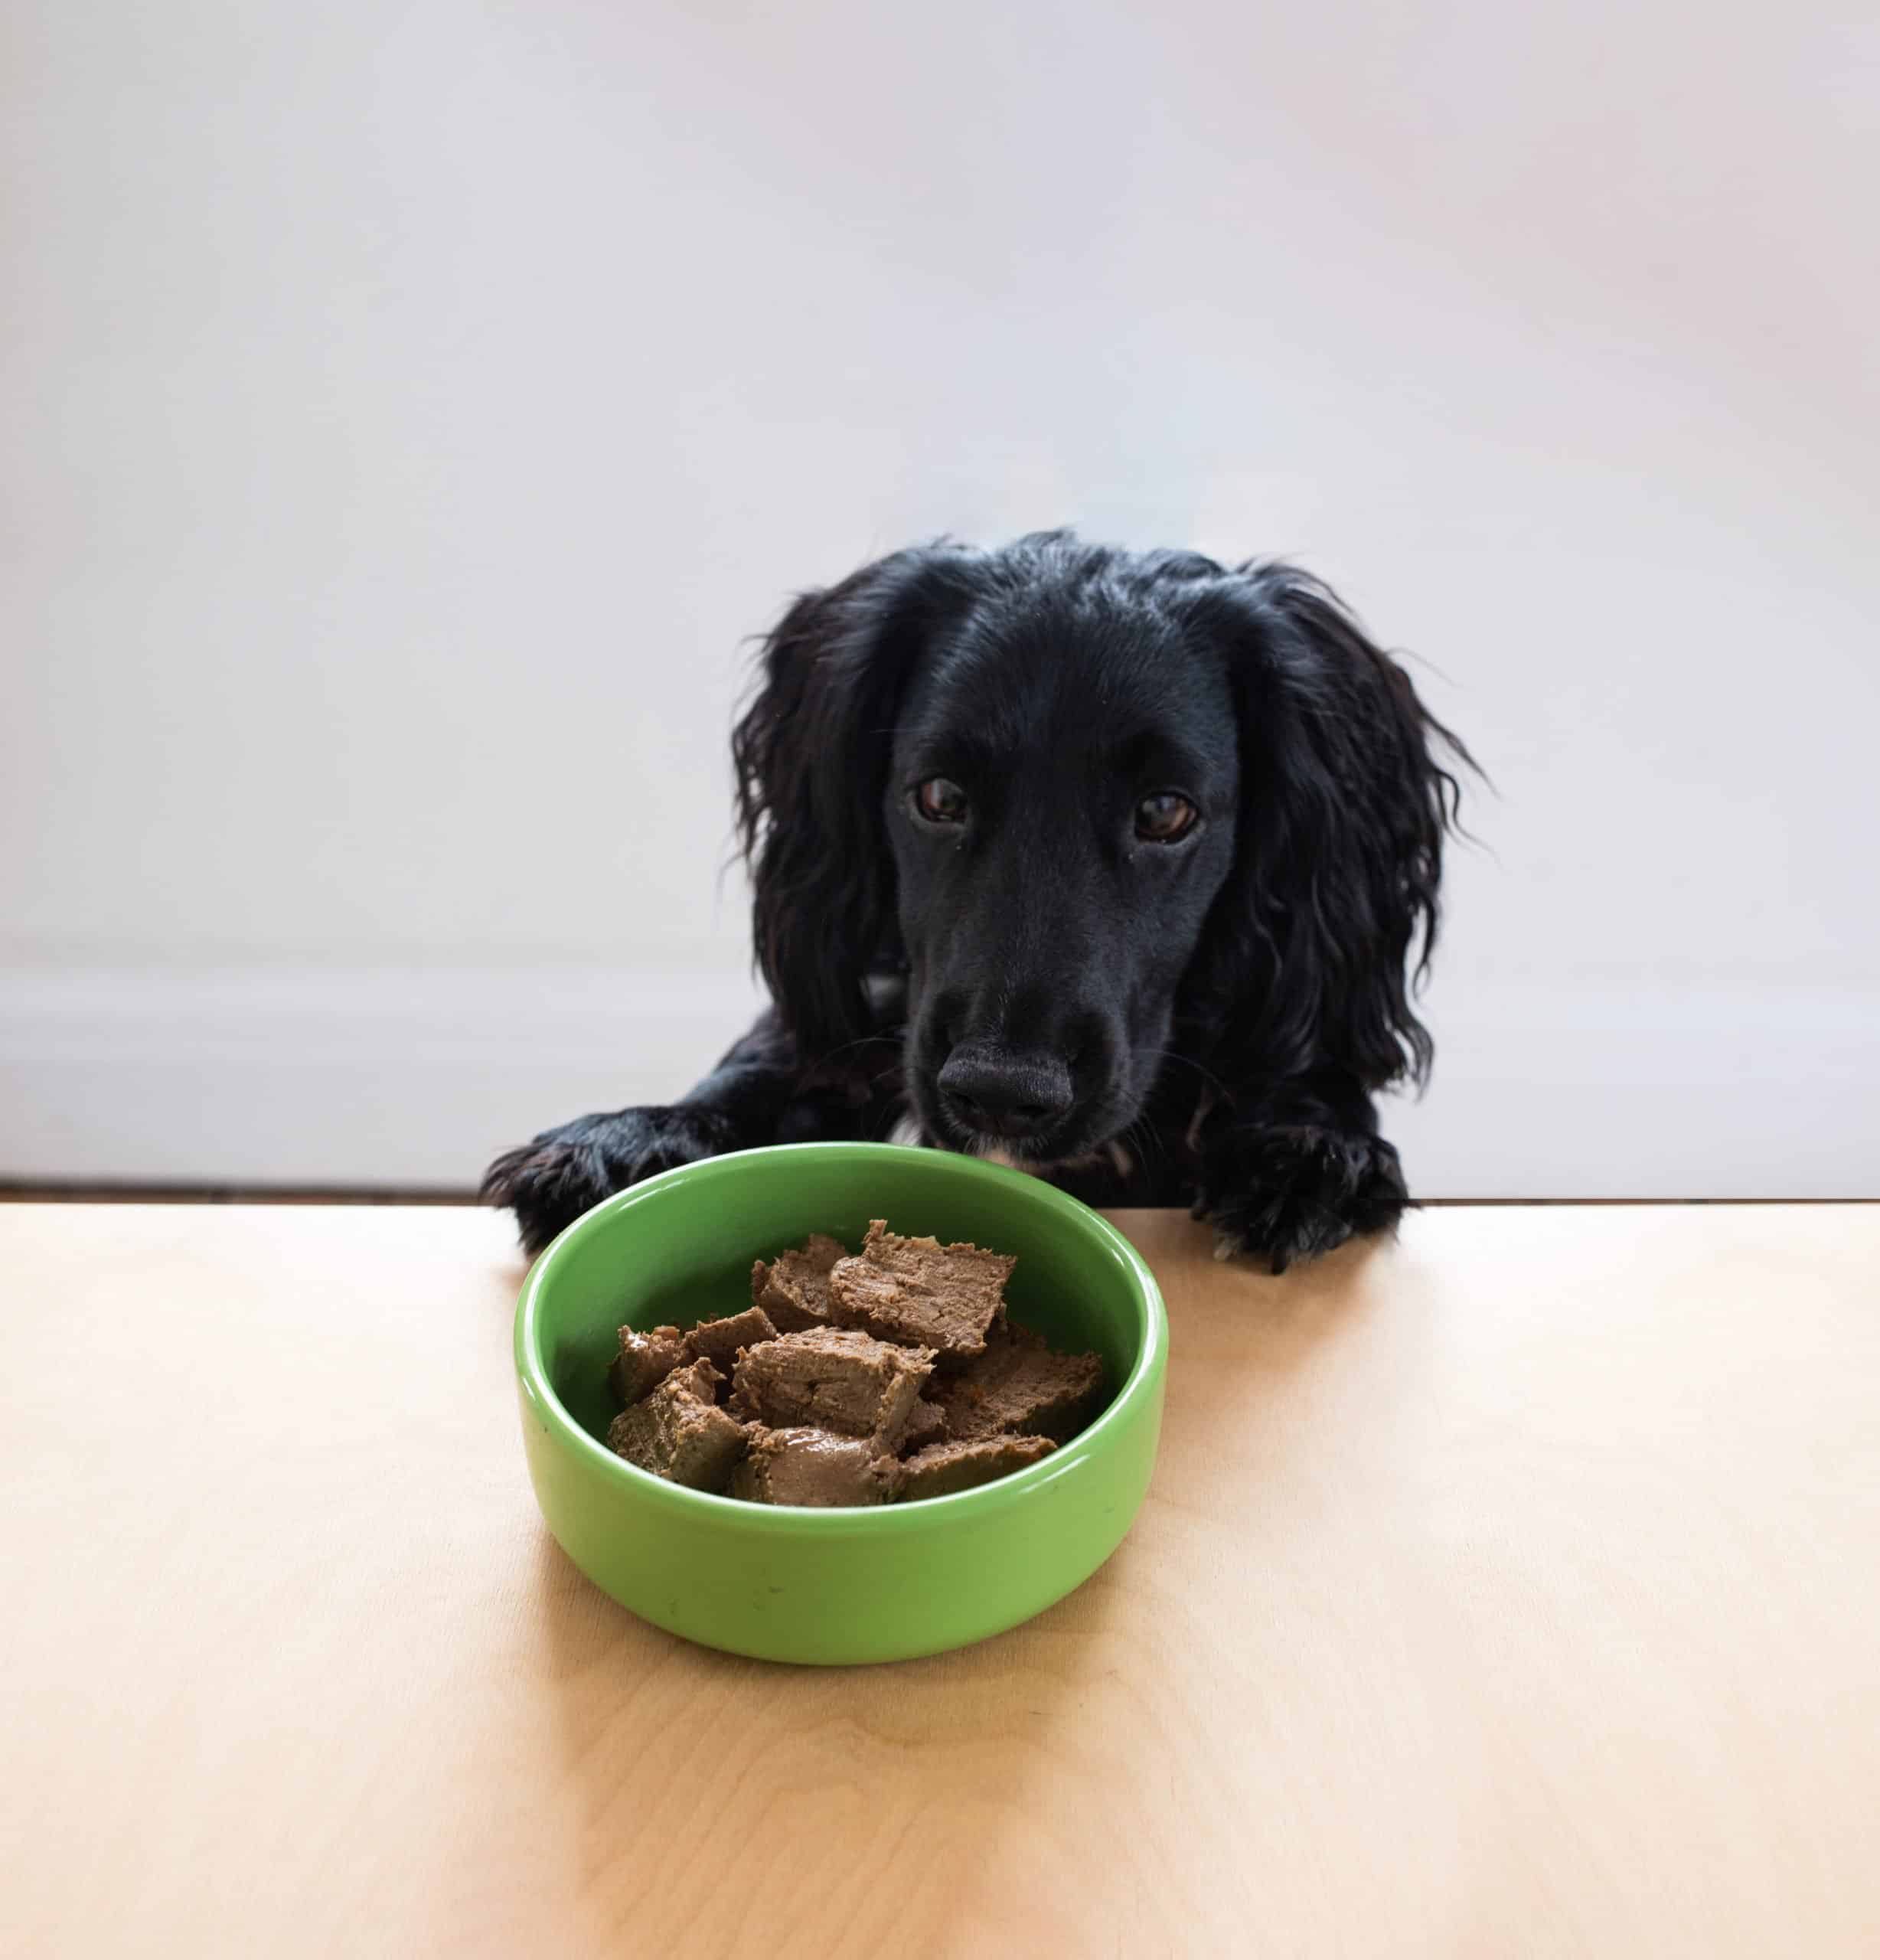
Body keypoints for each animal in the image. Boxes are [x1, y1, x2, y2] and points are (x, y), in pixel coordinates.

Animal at [482, 537, 1474, 1269]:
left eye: (1165, 812)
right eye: (938, 796)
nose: (1001, 1092)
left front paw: (1307, 1151)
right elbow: (770, 1063)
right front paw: (635, 1137)